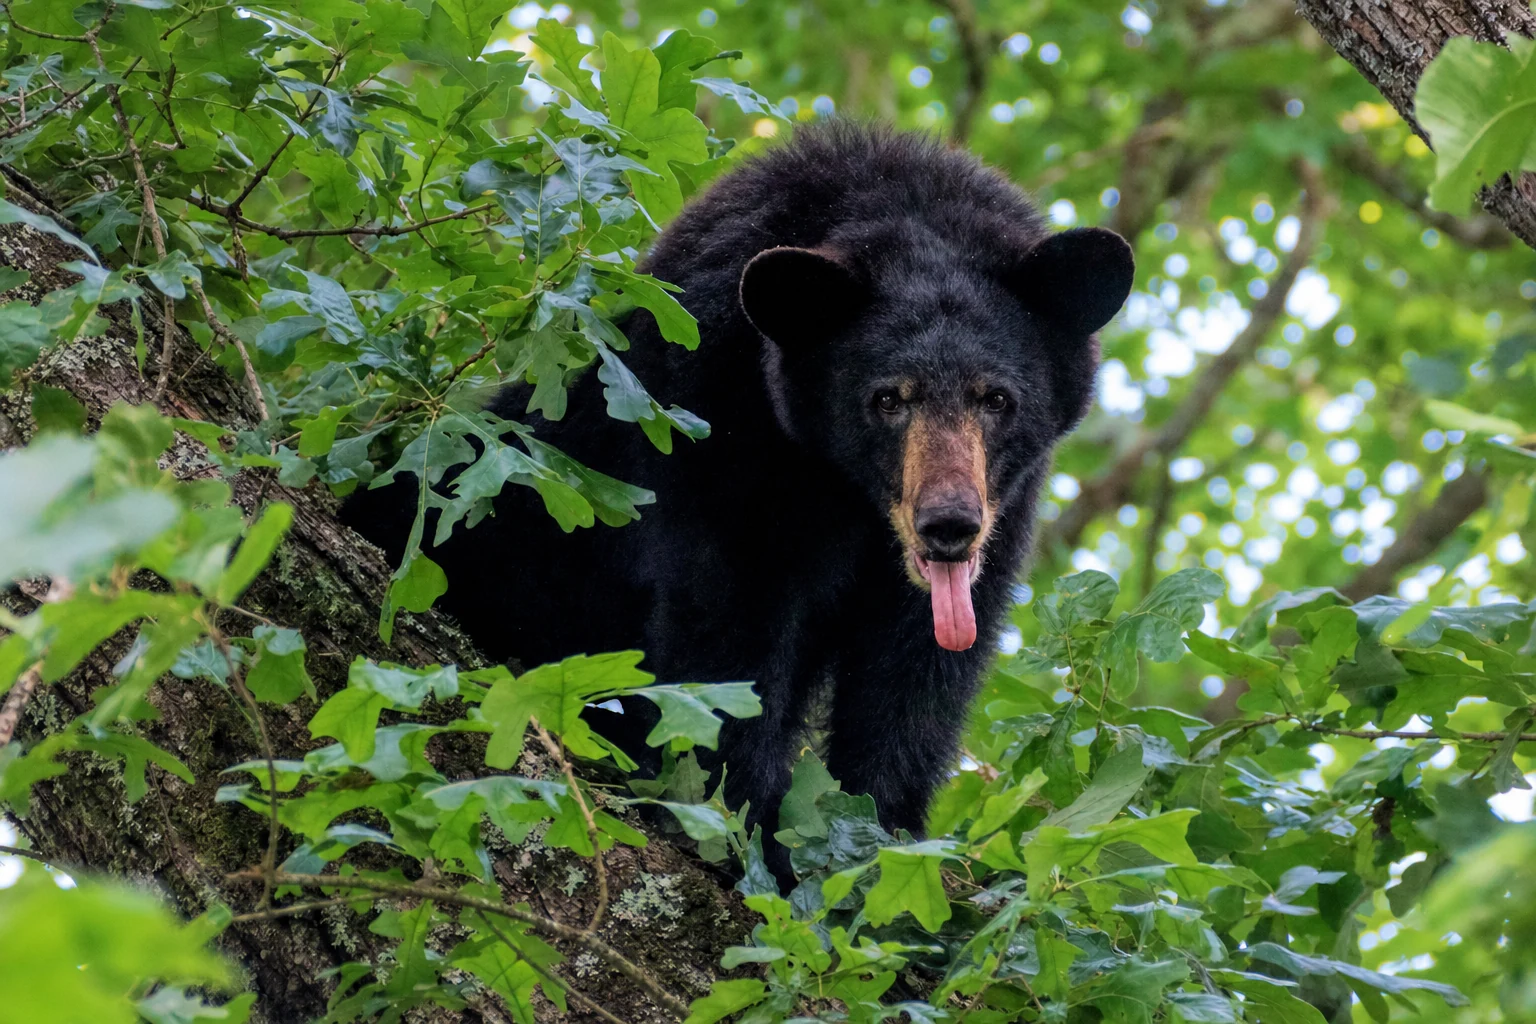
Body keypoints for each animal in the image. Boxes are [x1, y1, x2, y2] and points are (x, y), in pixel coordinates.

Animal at [346, 122, 1133, 880]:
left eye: (995, 398)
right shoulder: (710, 418)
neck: (838, 486)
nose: (948, 524)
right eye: (887, 399)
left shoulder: (1007, 505)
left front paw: (881, 844)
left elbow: (915, 670)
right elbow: (728, 628)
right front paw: (746, 834)